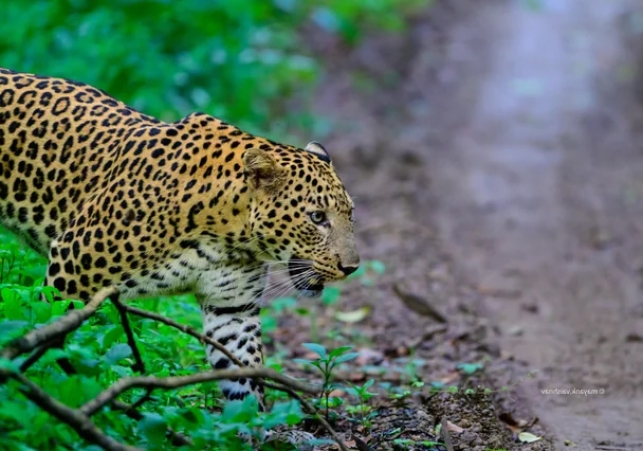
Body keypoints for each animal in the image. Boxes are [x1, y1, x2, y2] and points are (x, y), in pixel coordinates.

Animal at [0, 68, 359, 449]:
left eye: (350, 214)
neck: (229, 233)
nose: (351, 268)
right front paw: (51, 399)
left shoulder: (232, 308)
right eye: (317, 217)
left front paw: (252, 434)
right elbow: (54, 342)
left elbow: (245, 375)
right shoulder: (70, 273)